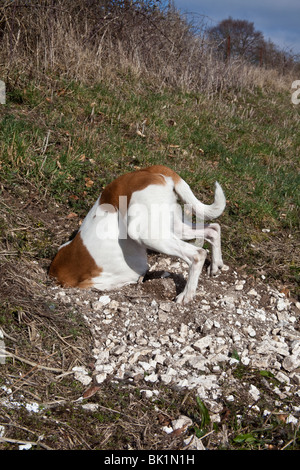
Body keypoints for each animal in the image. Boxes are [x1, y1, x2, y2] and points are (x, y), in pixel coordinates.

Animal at [49, 165, 225, 304]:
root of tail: (146, 171)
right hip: (172, 227)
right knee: (213, 229)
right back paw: (216, 265)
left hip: (146, 234)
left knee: (198, 254)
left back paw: (186, 294)